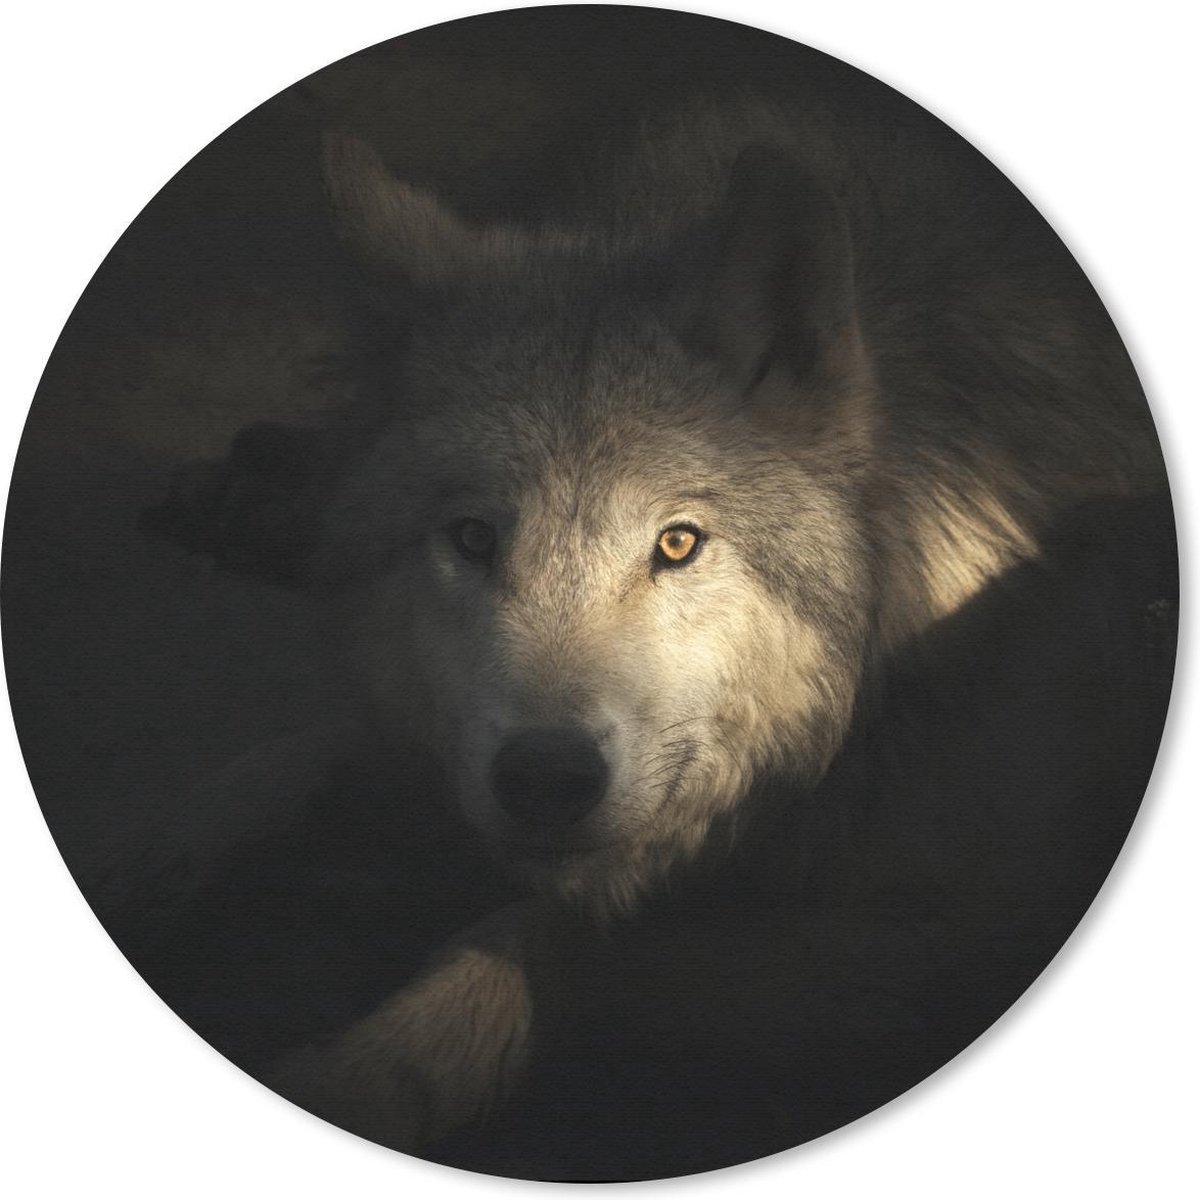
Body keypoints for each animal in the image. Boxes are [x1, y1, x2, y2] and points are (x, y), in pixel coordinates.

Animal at [146, 78, 1173, 1174]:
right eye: (472, 537)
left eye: (677, 544)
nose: (546, 778)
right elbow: (281, 766)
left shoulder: (945, 935)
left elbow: (530, 937)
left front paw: (361, 1078)